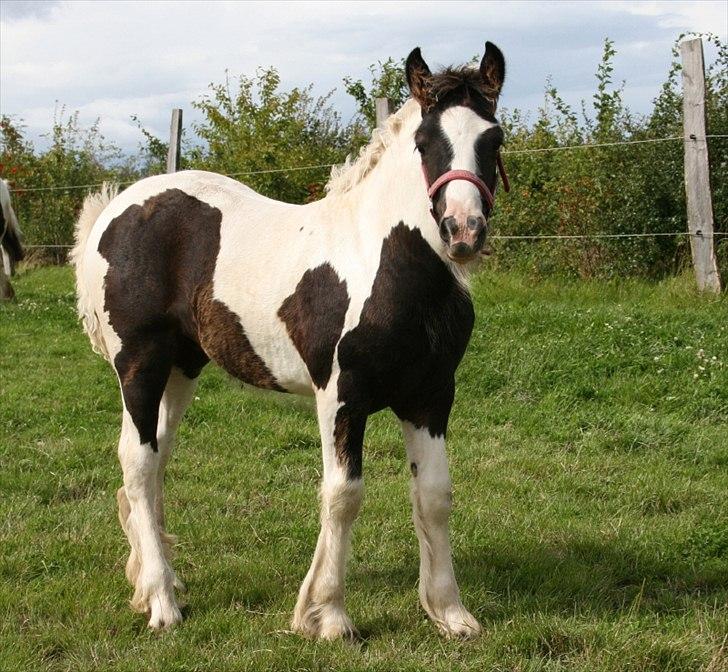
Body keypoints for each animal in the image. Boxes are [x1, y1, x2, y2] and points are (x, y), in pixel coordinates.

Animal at [72, 42, 506, 640]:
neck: (387, 263)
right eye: (424, 143)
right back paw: (162, 602)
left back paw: (163, 581)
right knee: (137, 464)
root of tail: (113, 210)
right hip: (139, 365)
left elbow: (435, 496)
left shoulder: (432, 396)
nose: (463, 231)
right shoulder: (341, 396)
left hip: (182, 368)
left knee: (157, 459)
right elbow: (343, 495)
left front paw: (450, 612)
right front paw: (328, 615)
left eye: (494, 138)